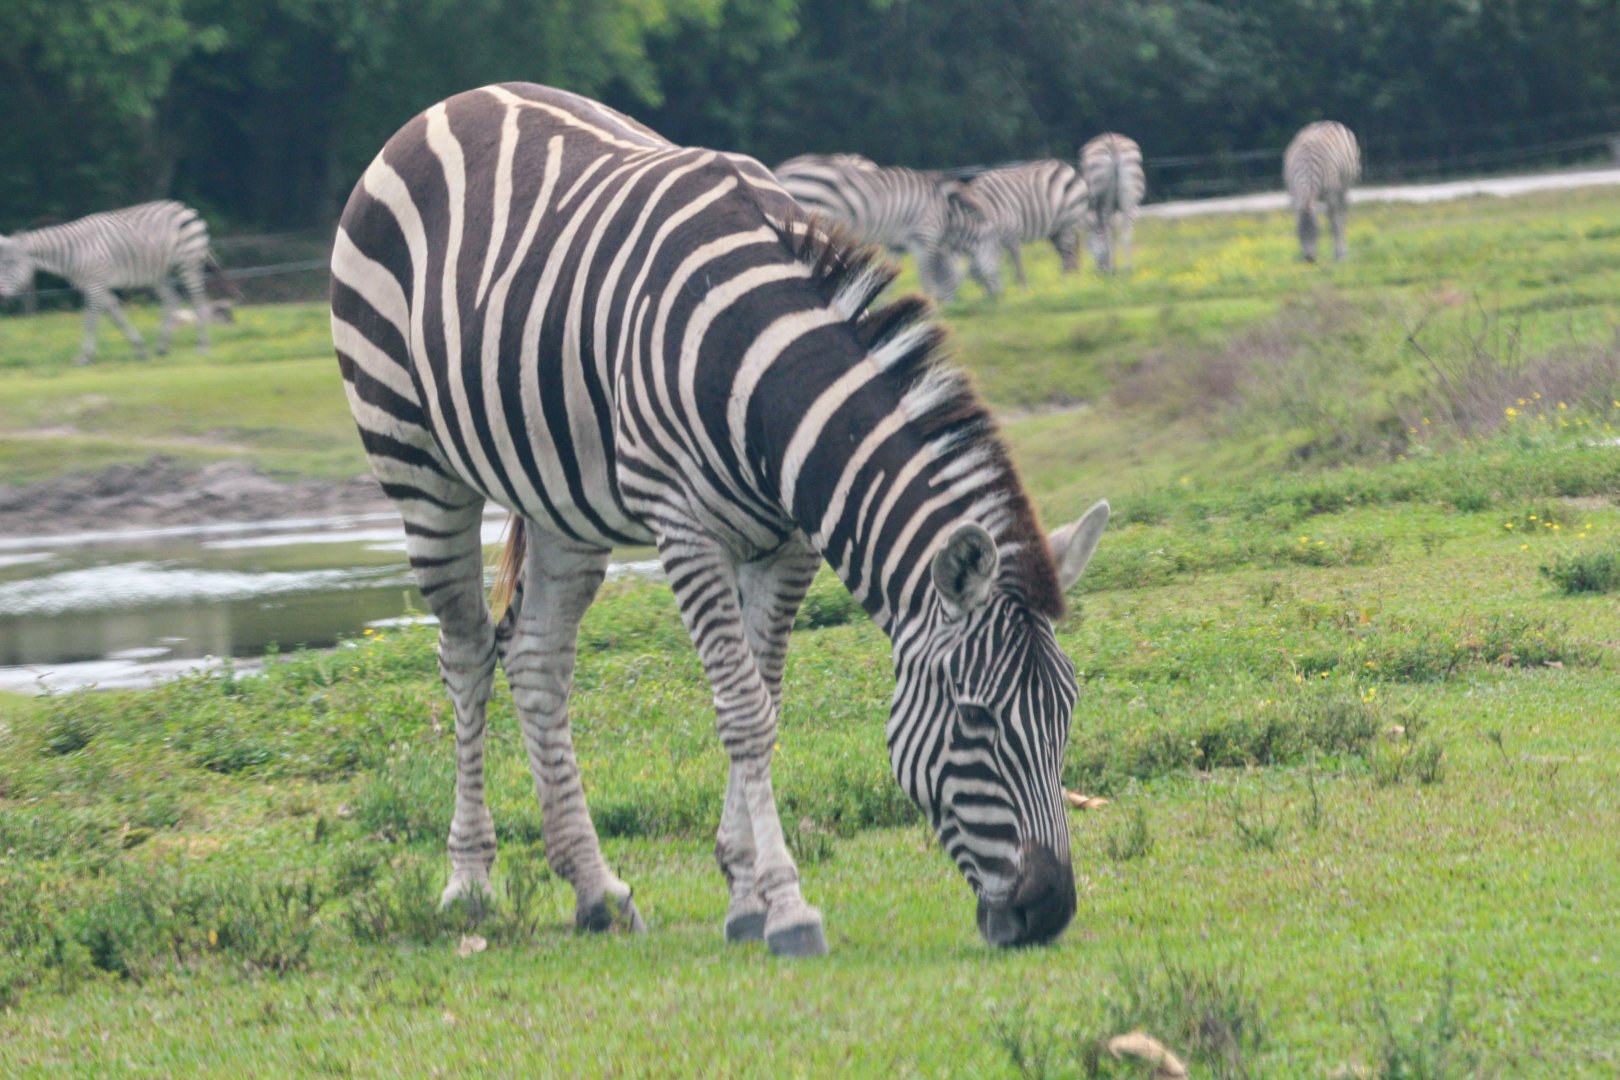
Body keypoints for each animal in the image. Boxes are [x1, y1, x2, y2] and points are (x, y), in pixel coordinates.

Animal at [0, 200, 217, 364]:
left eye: (11, 264)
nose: (1, 297)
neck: (74, 252)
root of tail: (183, 207)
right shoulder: (95, 285)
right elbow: (117, 317)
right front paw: (140, 349)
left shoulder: (95, 284)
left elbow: (91, 320)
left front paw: (84, 357)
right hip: (159, 274)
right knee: (172, 300)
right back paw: (162, 348)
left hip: (188, 264)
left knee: (199, 302)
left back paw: (203, 348)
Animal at [773, 153, 985, 303]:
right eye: (956, 281)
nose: (948, 307)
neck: (946, 214)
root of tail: (784, 170)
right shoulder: (924, 237)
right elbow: (927, 276)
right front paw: (929, 305)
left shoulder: (895, 245)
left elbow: (891, 277)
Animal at [953, 160, 1090, 297]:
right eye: (976, 280)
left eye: (984, 276)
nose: (996, 298)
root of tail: (1065, 166)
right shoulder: (995, 240)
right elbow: (1002, 261)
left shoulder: (1012, 235)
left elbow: (1017, 265)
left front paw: (1024, 290)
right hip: (1056, 230)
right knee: (1069, 253)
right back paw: (1072, 279)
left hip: (1068, 223)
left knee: (1068, 256)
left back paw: (1065, 284)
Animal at [1079, 134, 1146, 274]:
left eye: (1089, 245)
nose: (1099, 270)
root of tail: (1111, 140)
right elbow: (1115, 232)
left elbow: (1109, 231)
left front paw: (1111, 266)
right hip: (1130, 193)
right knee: (1127, 231)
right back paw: (1128, 268)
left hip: (1105, 195)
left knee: (1108, 228)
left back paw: (1112, 269)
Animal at [1284, 121, 1361, 262]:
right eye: (1298, 232)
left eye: (1317, 231)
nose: (1309, 259)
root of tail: (1326, 122)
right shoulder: (1294, 195)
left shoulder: (1331, 194)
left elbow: (1335, 224)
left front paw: (1339, 256)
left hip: (1344, 188)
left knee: (1341, 216)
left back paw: (1343, 252)